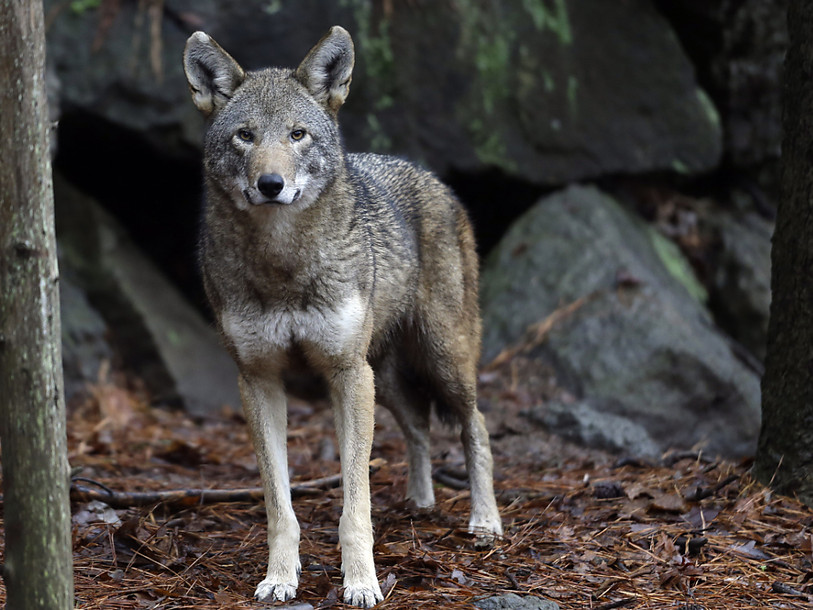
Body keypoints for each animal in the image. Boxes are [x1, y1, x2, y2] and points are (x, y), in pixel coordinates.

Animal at [183, 26, 502, 607]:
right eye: (245, 136)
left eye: (298, 135)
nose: (270, 183)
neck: (283, 265)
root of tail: (433, 178)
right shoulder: (258, 379)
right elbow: (279, 505)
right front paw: (281, 578)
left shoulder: (346, 374)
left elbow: (356, 505)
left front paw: (361, 583)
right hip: (387, 379)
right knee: (420, 426)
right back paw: (420, 503)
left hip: (440, 361)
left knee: (477, 426)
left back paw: (485, 522)